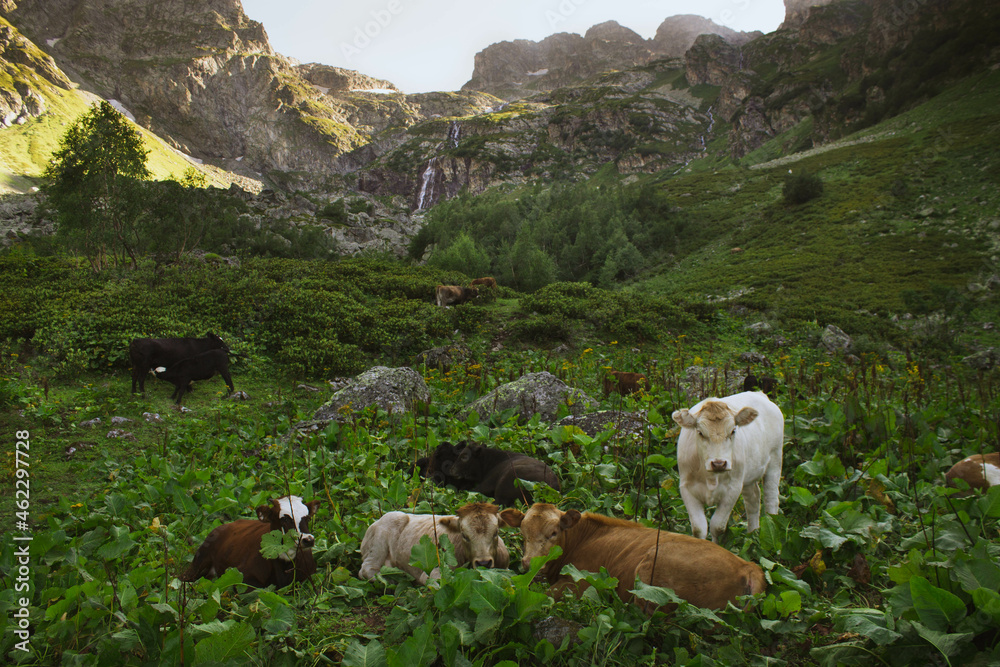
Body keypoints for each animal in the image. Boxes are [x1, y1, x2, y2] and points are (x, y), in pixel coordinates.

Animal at [360, 500, 512, 584]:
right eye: (464, 535)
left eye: (496, 532)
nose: (484, 563)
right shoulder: (434, 573)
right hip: (379, 543)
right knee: (366, 569)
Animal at [500, 506, 764, 612]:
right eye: (522, 532)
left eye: (553, 533)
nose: (528, 564)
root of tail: (748, 566)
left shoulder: (579, 582)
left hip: (651, 573)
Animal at [676, 392, 784, 544]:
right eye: (700, 432)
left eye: (733, 431)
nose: (719, 463)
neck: (711, 478)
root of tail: (760, 394)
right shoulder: (687, 488)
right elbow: (699, 529)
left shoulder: (733, 488)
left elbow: (717, 527)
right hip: (748, 477)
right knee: (753, 500)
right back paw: (752, 533)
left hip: (775, 460)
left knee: (771, 499)